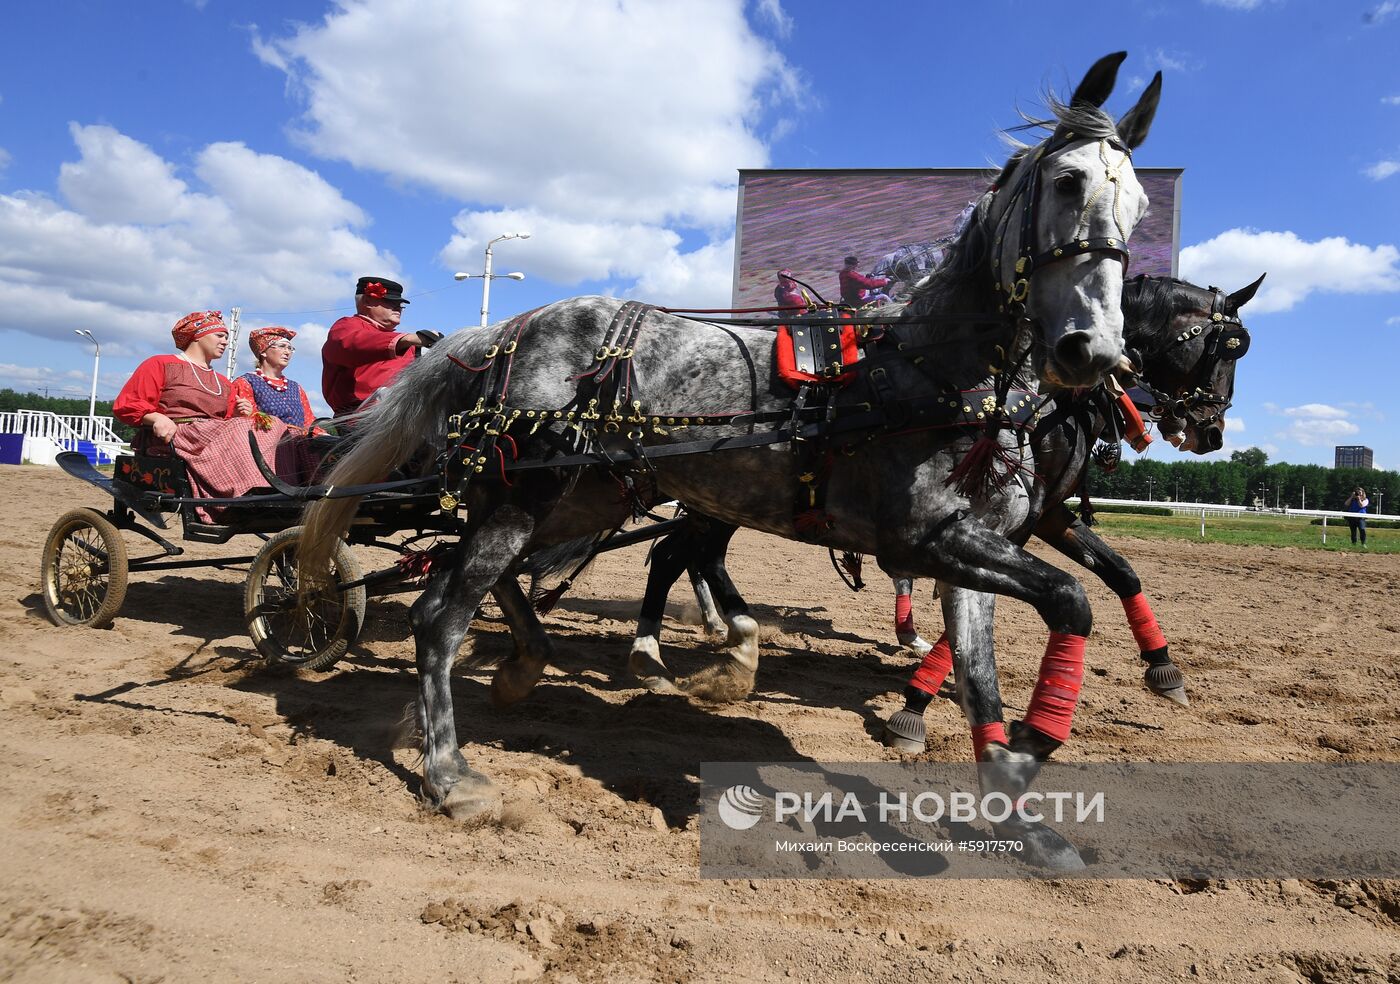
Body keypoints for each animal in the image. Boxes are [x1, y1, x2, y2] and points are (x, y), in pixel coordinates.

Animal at [301, 51, 1164, 845]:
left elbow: (987, 670)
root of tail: (499, 332)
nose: (1094, 349)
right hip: (525, 498)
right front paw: (1033, 742)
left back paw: (519, 669)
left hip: (572, 497)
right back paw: (451, 771)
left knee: (489, 574)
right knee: (439, 615)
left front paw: (1017, 802)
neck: (931, 367)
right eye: (1068, 183)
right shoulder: (924, 538)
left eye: (1141, 203)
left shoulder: (972, 548)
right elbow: (1072, 598)